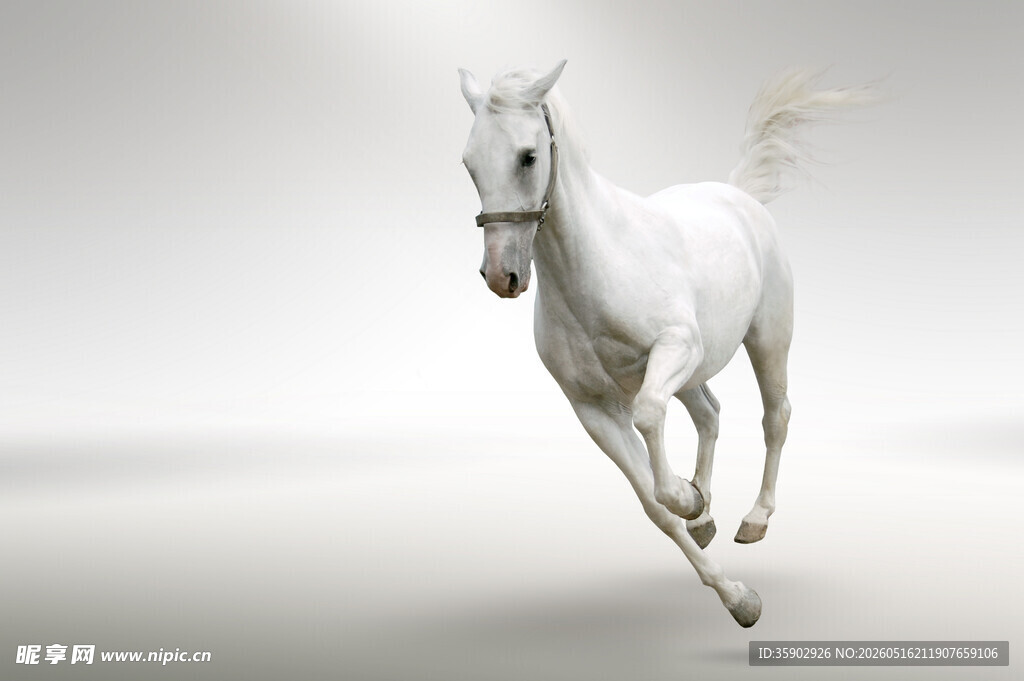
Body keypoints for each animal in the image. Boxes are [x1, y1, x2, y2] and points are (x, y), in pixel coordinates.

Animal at [458, 60, 873, 627]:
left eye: (528, 156)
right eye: (469, 164)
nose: (502, 276)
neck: (598, 265)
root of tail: (738, 195)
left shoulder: (675, 349)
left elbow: (651, 417)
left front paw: (689, 500)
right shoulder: (592, 408)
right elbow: (655, 507)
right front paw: (735, 591)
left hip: (766, 340)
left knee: (775, 417)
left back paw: (755, 518)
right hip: (696, 372)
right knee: (711, 414)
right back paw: (707, 513)